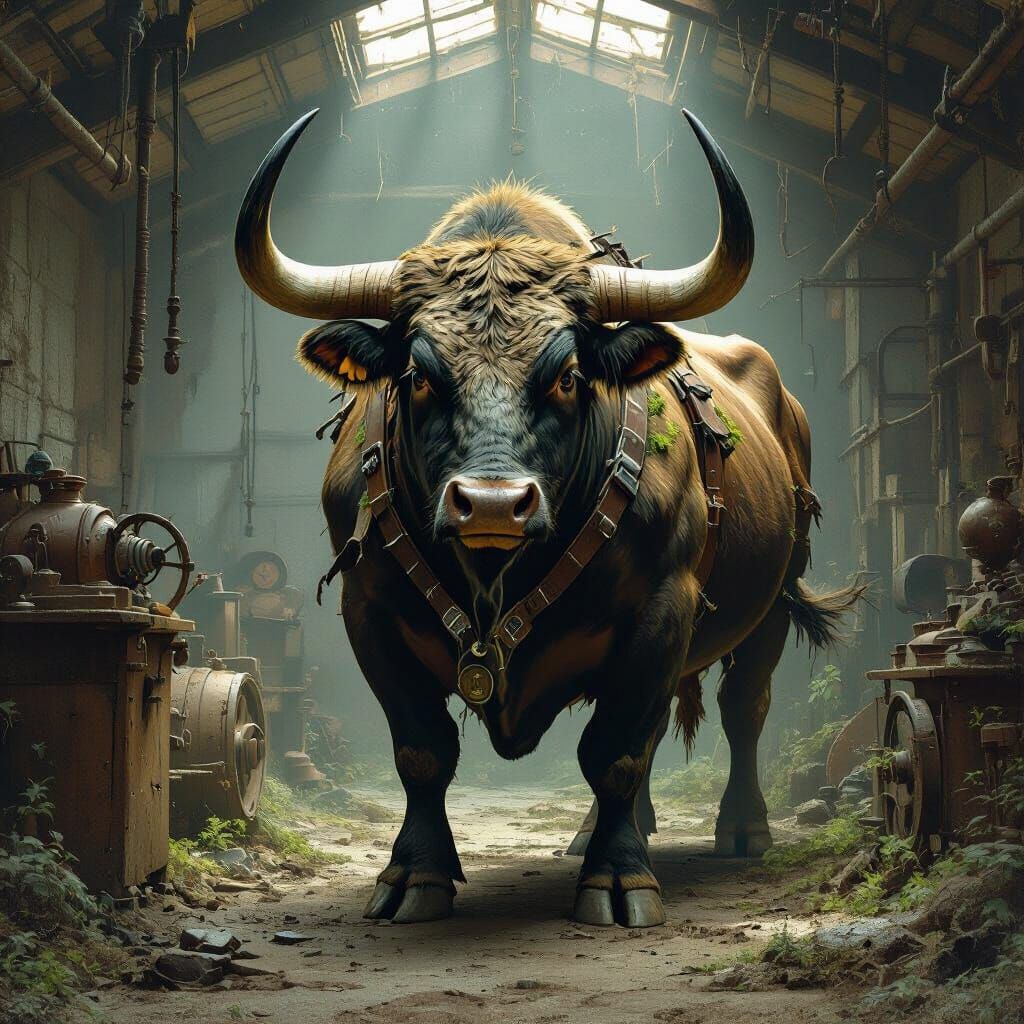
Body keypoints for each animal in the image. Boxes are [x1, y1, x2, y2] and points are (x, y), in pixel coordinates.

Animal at [235, 108, 862, 929]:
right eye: (416, 375)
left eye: (567, 375)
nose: (493, 503)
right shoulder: (367, 610)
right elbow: (422, 750)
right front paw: (414, 874)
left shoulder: (663, 609)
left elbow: (617, 749)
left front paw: (620, 879)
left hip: (773, 604)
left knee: (741, 709)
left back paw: (741, 829)